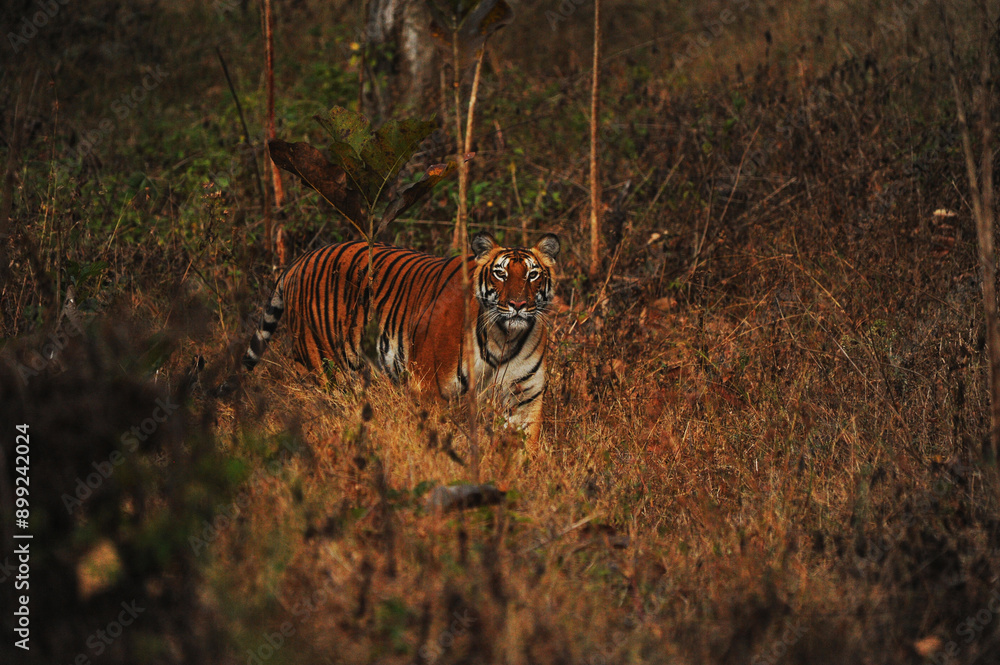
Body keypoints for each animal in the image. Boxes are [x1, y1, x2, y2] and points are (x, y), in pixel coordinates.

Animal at [243, 232, 560, 445]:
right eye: (500, 274)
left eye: (532, 275)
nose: (518, 304)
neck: (504, 337)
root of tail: (300, 260)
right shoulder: (429, 388)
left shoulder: (525, 397)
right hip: (319, 368)